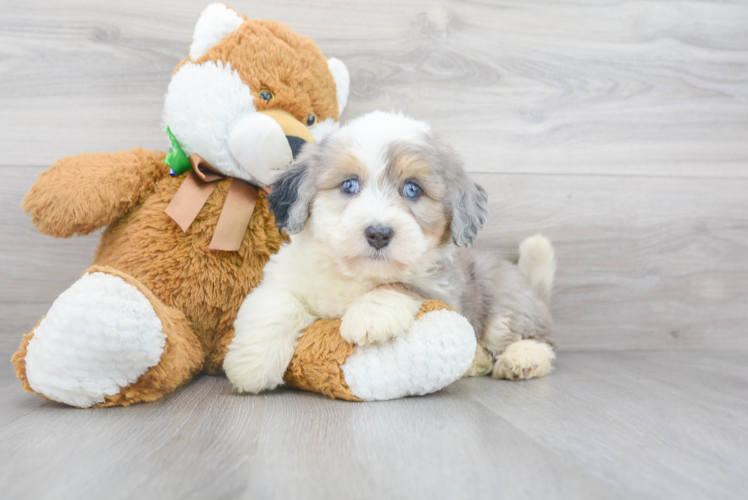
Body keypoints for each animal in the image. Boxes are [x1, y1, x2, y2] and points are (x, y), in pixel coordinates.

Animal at [225, 110, 560, 394]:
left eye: (412, 189)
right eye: (349, 185)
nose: (378, 233)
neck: (357, 275)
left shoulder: (442, 288)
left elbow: (400, 284)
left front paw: (370, 315)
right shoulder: (286, 277)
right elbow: (274, 305)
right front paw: (251, 366)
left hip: (506, 304)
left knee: (538, 338)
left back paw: (522, 359)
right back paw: (477, 361)